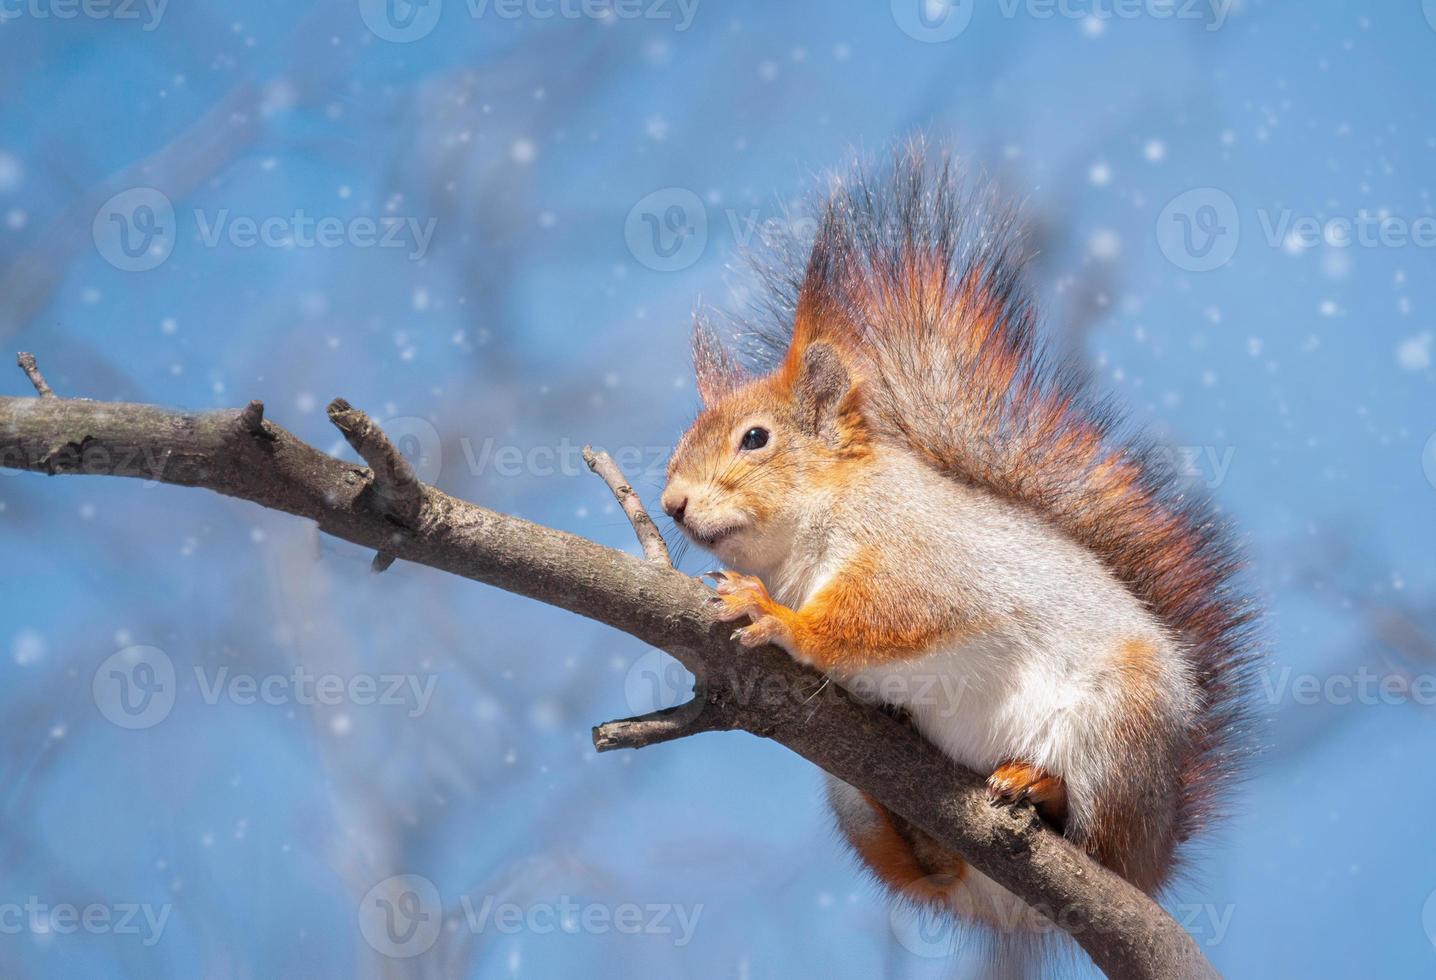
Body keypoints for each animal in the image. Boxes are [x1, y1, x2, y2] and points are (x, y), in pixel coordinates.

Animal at [657, 145, 1252, 971]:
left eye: (755, 439)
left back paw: (1038, 789)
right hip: (857, 805)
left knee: (1097, 841)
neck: (811, 531)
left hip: (1120, 728)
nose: (671, 503)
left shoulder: (922, 556)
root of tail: (1158, 851)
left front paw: (773, 614)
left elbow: (885, 613)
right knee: (928, 871)